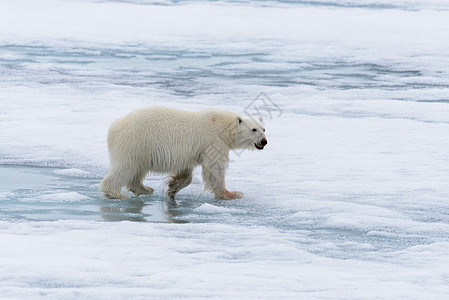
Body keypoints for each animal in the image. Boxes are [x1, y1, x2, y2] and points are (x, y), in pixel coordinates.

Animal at [101, 105, 266, 199]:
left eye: (264, 129)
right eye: (254, 129)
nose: (264, 141)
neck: (225, 127)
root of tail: (114, 127)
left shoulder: (191, 152)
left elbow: (186, 172)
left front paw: (173, 188)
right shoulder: (213, 141)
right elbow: (215, 168)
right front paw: (231, 194)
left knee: (137, 170)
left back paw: (144, 188)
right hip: (135, 143)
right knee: (125, 167)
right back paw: (115, 193)